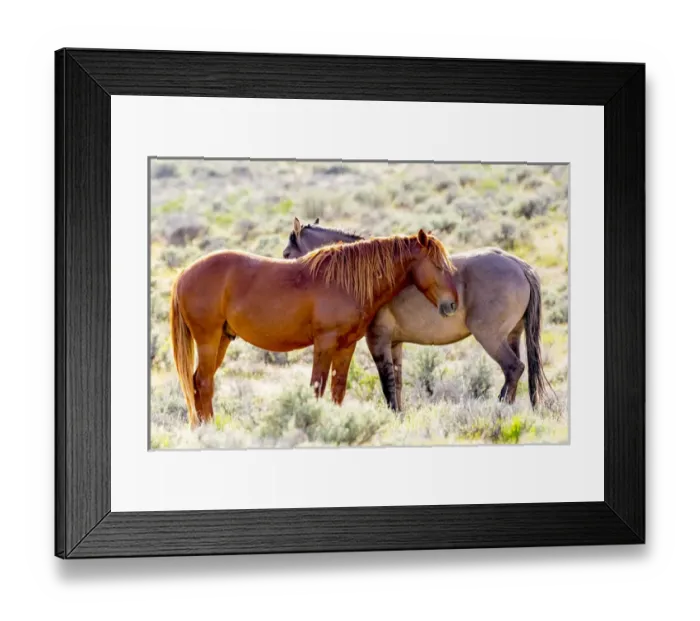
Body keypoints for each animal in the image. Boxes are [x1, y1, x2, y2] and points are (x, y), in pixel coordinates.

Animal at [170, 229, 459, 428]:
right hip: (208, 339)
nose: (452, 304)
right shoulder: (324, 343)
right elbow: (317, 387)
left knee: (197, 382)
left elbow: (337, 389)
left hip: (222, 339)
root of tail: (184, 273)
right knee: (204, 382)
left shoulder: (346, 345)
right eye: (438, 265)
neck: (346, 281)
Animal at [282, 217, 551, 412]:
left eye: (286, 254)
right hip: (512, 336)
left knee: (513, 369)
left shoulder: (377, 340)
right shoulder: (395, 343)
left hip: (491, 338)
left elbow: (387, 384)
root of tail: (519, 265)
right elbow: (398, 384)